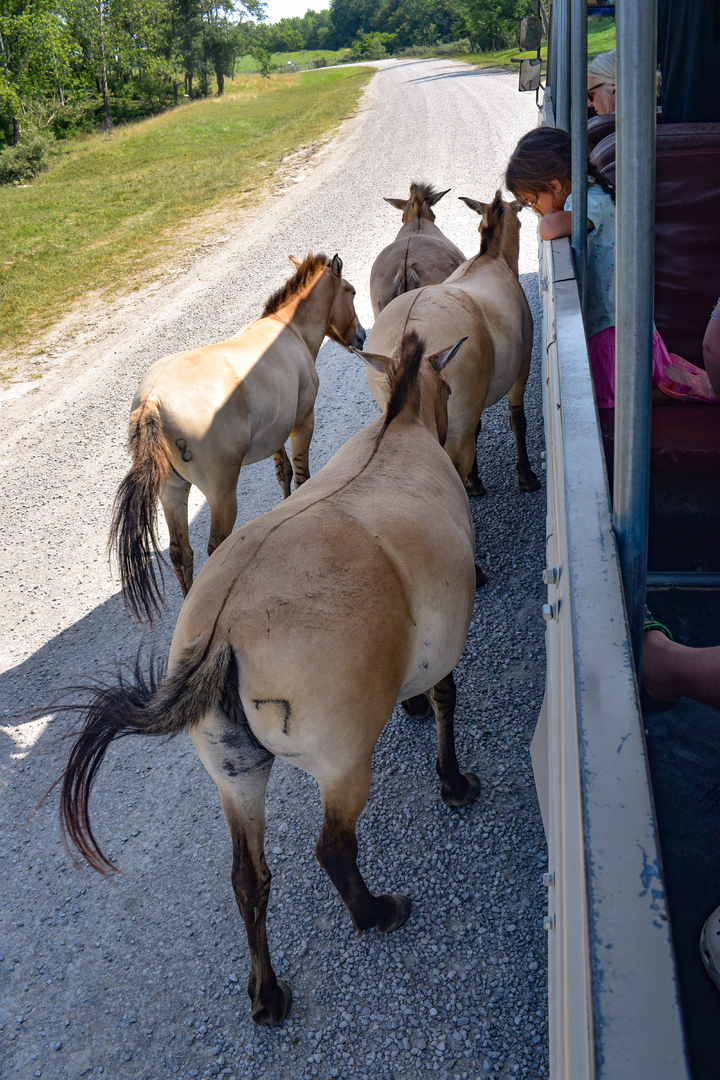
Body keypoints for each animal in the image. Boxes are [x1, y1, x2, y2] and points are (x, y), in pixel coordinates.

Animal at [59, 331, 480, 1027]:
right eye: (447, 388)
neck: (395, 432)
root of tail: (223, 632)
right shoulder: (445, 643)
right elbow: (447, 697)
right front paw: (451, 778)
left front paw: (413, 707)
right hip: (341, 764)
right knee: (332, 848)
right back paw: (375, 913)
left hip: (235, 773)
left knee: (246, 877)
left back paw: (267, 994)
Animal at [109, 252, 365, 624]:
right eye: (351, 292)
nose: (361, 337)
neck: (286, 328)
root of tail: (152, 402)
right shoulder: (302, 423)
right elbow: (302, 477)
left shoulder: (275, 436)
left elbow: (284, 474)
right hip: (221, 491)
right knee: (213, 547)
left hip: (172, 492)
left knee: (181, 554)